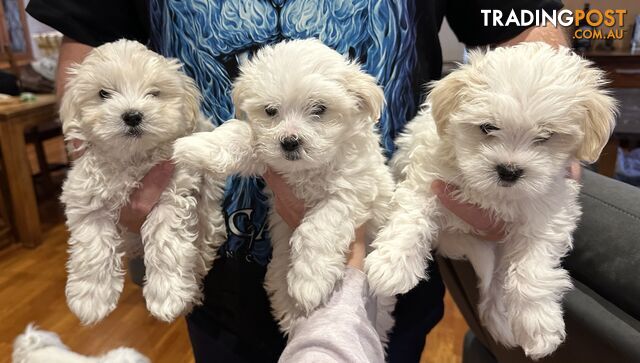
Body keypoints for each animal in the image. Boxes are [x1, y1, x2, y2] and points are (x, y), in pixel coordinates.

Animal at [58, 39, 228, 324]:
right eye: (103, 93)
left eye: (154, 93)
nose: (132, 115)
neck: (132, 158)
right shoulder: (87, 199)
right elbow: (92, 250)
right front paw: (90, 299)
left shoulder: (170, 194)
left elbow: (166, 244)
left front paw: (167, 296)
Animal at [174, 37, 396, 336]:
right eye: (271, 111)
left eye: (319, 109)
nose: (290, 142)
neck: (306, 170)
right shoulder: (267, 154)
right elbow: (237, 136)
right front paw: (192, 146)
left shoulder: (352, 190)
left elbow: (318, 227)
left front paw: (309, 281)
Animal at [368, 42, 616, 358]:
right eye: (487, 127)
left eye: (546, 136)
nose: (509, 170)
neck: (493, 194)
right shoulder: (428, 180)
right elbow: (410, 218)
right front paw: (391, 266)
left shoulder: (547, 213)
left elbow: (532, 269)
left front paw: (539, 325)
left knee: (494, 288)